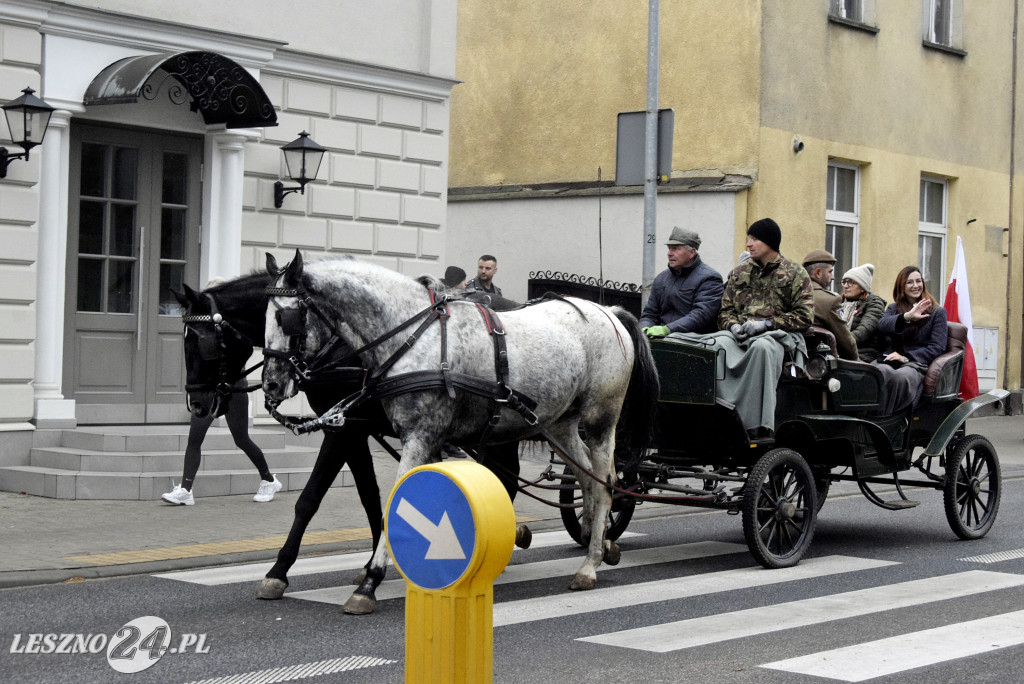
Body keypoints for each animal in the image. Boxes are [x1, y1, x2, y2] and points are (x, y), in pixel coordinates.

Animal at [258, 250, 655, 614]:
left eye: (286, 317)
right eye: (262, 316)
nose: (271, 384)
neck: (413, 336)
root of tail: (610, 312)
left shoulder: (415, 435)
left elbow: (389, 503)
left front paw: (370, 581)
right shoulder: (408, 437)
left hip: (600, 419)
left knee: (604, 483)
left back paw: (590, 564)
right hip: (556, 423)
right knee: (585, 478)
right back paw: (595, 542)